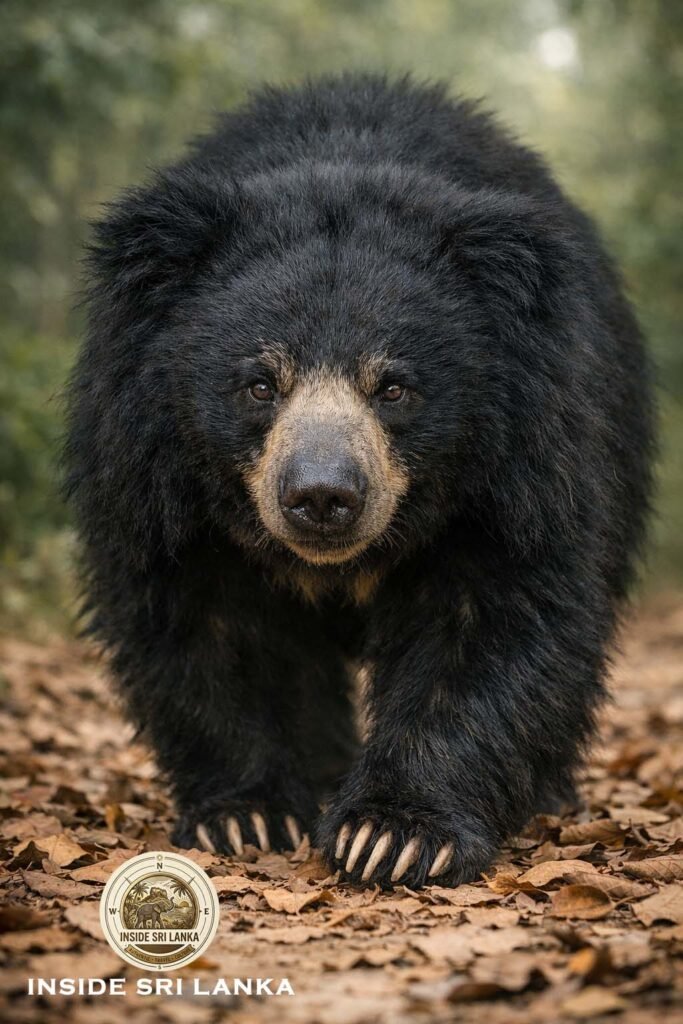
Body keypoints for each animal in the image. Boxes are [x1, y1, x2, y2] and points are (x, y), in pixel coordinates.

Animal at [64, 74, 655, 889]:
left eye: (394, 389)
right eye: (259, 384)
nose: (322, 497)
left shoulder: (521, 469)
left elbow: (494, 614)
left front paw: (392, 834)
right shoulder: (153, 469)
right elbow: (202, 622)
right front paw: (247, 818)